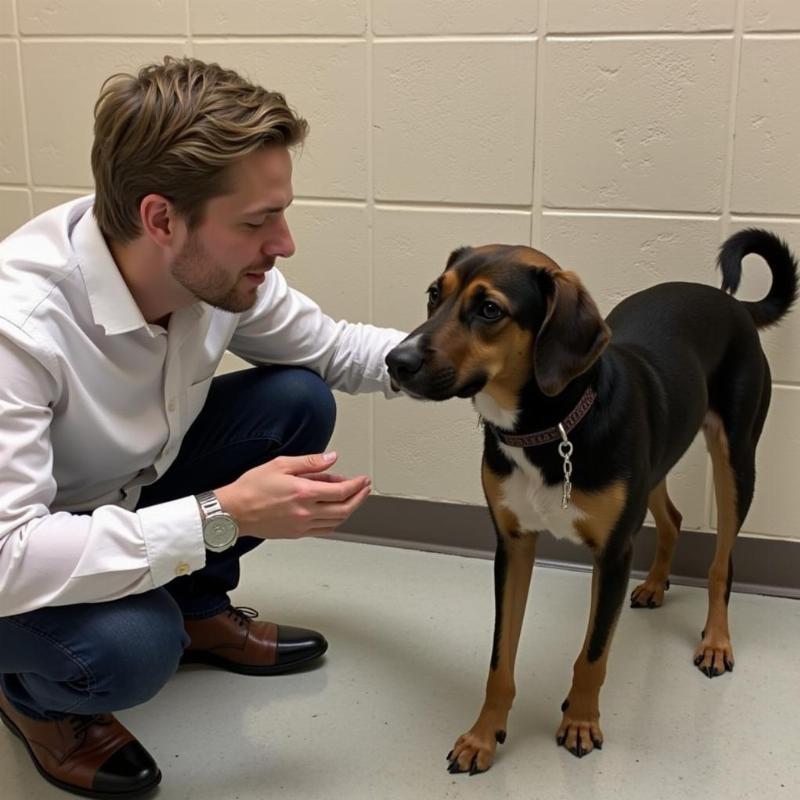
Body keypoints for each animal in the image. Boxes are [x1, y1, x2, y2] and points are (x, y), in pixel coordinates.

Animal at [384, 230, 796, 768]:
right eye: (436, 294)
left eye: (490, 309)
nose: (396, 361)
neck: (548, 431)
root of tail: (731, 303)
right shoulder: (512, 544)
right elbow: (500, 659)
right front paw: (483, 735)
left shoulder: (613, 553)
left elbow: (594, 653)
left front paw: (580, 722)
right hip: (656, 461)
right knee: (673, 519)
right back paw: (656, 585)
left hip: (736, 460)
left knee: (721, 563)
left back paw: (715, 641)